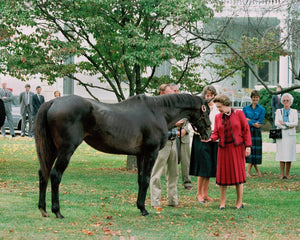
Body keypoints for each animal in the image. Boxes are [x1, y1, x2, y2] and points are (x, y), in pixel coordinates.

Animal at [34, 93, 211, 218]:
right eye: (207, 111)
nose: (208, 133)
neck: (158, 112)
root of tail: (53, 102)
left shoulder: (140, 155)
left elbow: (140, 180)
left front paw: (140, 206)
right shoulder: (151, 153)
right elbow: (146, 179)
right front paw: (144, 209)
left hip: (52, 149)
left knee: (43, 173)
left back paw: (43, 209)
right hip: (66, 150)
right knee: (55, 175)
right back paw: (57, 211)